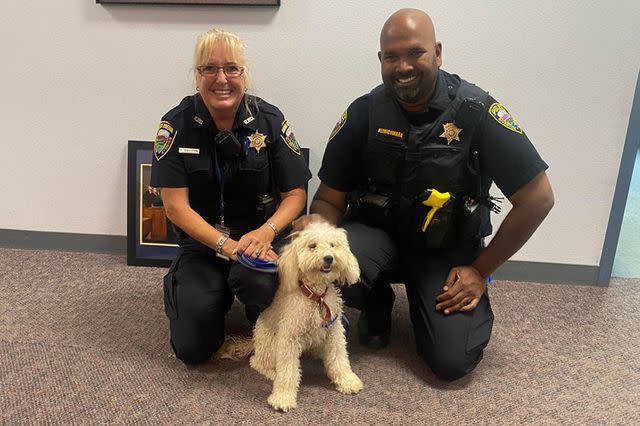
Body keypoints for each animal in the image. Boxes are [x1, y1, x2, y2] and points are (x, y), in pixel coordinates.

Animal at [250, 221, 362, 412]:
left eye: (333, 245)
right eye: (312, 246)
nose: (329, 258)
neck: (315, 296)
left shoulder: (334, 332)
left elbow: (339, 358)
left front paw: (347, 381)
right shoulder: (289, 338)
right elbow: (287, 371)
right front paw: (283, 398)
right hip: (270, 346)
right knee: (257, 363)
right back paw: (272, 372)